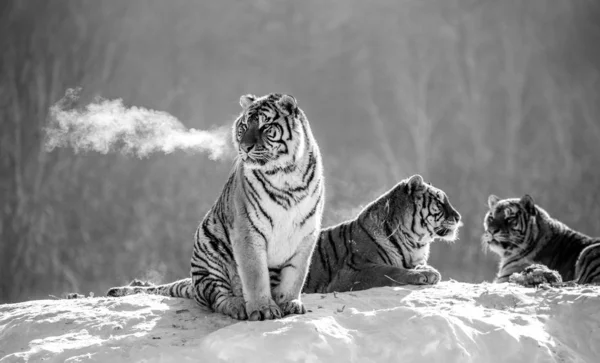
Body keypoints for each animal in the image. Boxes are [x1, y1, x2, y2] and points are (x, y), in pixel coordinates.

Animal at [302, 175, 462, 294]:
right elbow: (389, 271)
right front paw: (423, 274)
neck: (415, 243)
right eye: (440, 203)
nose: (458, 217)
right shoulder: (352, 271)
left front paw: (428, 270)